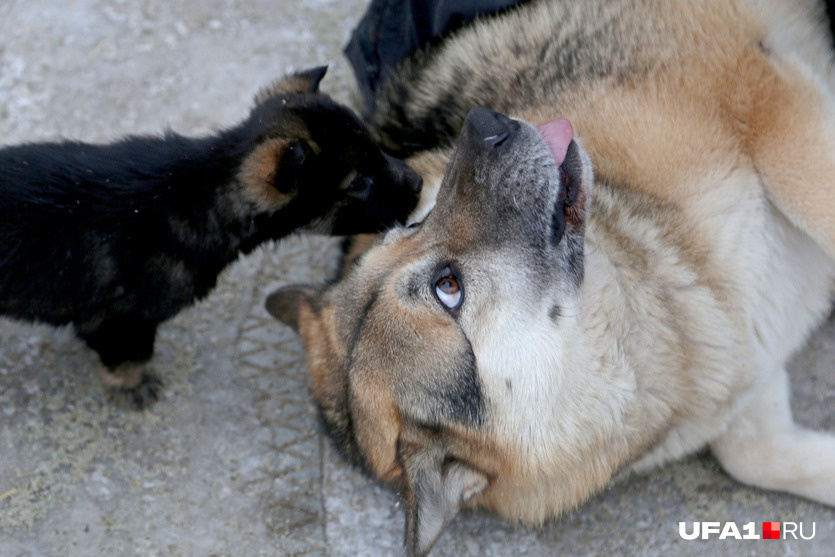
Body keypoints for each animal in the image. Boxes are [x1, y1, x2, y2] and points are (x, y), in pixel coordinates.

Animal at [0, 66, 418, 408]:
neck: (204, 189)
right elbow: (131, 356)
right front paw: (132, 387)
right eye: (359, 183)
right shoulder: (120, 320)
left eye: (377, 149)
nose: (418, 183)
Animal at [268, 0, 835, 552]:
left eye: (413, 223)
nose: (484, 124)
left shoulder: (758, 94)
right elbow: (749, 454)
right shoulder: (748, 353)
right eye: (448, 289)